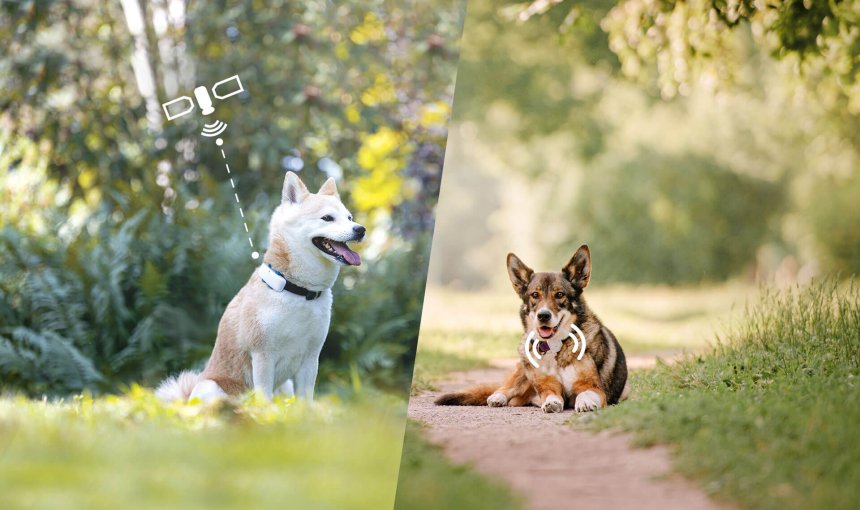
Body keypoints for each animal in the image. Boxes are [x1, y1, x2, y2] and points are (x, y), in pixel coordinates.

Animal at [156, 171, 364, 402]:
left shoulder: (310, 358)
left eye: (349, 218)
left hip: (285, 387)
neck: (298, 291)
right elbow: (264, 398)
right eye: (327, 218)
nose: (360, 229)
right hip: (211, 387)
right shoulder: (262, 355)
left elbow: (306, 400)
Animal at [436, 245, 624, 412]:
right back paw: (497, 398)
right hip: (523, 367)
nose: (543, 315)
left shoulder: (593, 387)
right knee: (504, 388)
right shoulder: (548, 386)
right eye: (535, 295)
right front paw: (551, 403)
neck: (554, 348)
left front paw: (584, 403)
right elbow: (550, 394)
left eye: (560, 294)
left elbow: (584, 394)